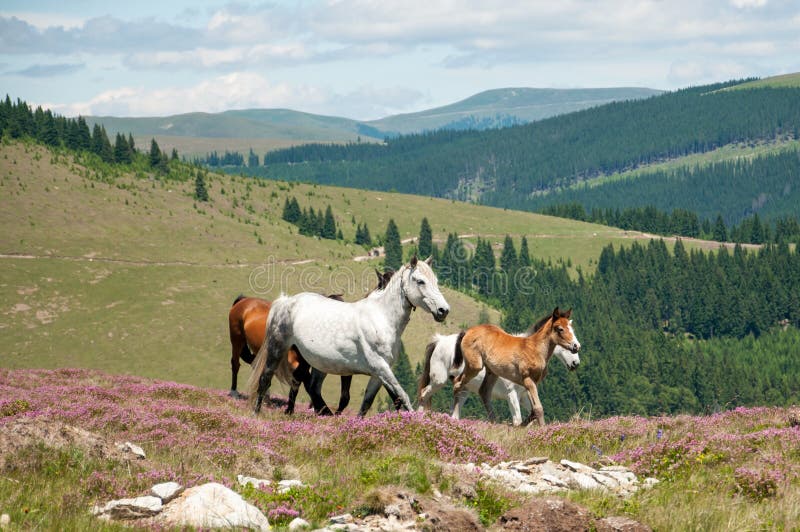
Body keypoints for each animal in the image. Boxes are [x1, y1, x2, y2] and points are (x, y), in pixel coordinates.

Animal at [248, 256, 450, 416]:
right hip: (278, 348)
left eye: (436, 280)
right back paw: (256, 414)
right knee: (266, 379)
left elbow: (370, 402)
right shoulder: (380, 367)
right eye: (420, 281)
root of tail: (286, 301)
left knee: (312, 387)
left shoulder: (380, 373)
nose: (443, 310)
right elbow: (402, 396)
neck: (382, 318)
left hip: (319, 362)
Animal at [416, 312, 580, 424]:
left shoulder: (523, 395)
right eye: (560, 330)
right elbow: (518, 419)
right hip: (439, 381)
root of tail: (439, 341)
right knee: (424, 394)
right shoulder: (511, 394)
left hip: (464, 390)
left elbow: (533, 413)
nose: (575, 363)